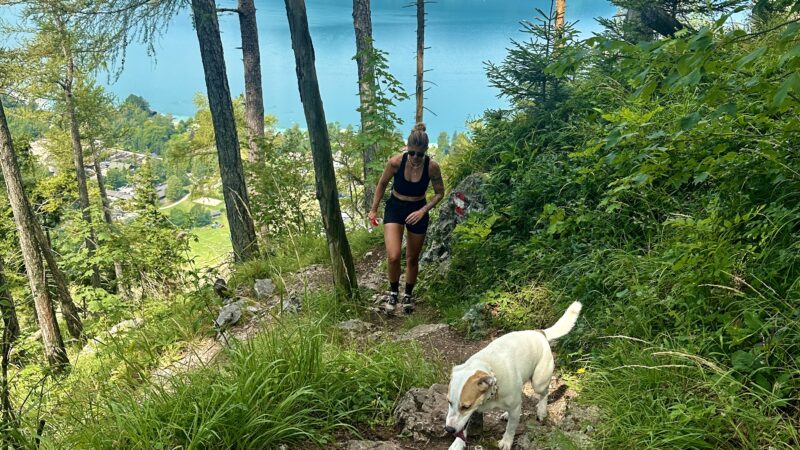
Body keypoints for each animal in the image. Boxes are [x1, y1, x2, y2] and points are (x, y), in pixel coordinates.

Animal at [444, 298, 580, 450]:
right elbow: (464, 426)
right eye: (449, 402)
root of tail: (539, 332)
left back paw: (541, 410)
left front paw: (506, 441)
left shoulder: (512, 408)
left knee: (544, 393)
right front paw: (458, 443)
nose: (449, 429)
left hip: (538, 382)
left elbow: (511, 427)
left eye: (465, 406)